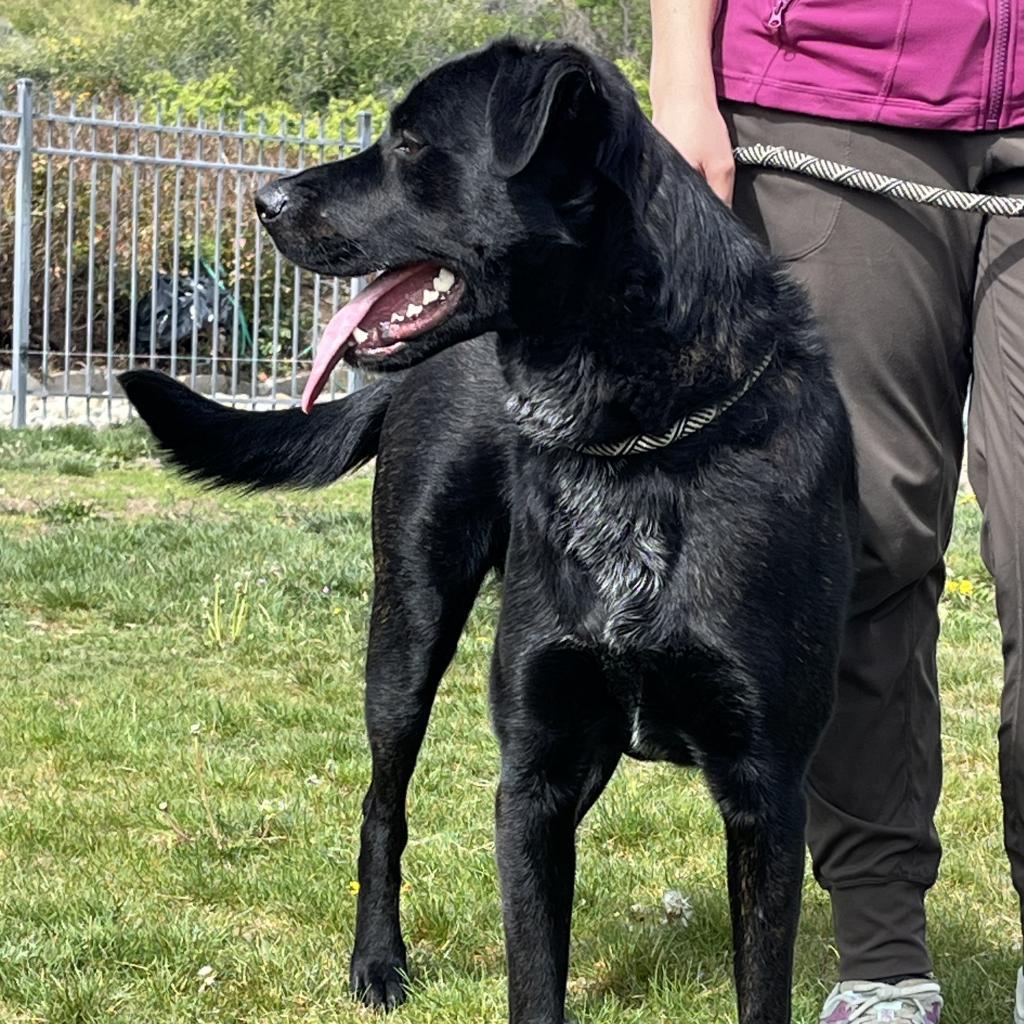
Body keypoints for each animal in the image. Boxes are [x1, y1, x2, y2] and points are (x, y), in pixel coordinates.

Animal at [119, 36, 856, 1019]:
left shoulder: (764, 795)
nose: (263, 202)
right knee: (381, 804)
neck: (637, 440)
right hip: (409, 626)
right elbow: (533, 977)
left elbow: (757, 987)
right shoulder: (533, 777)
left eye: (409, 144)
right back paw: (377, 961)